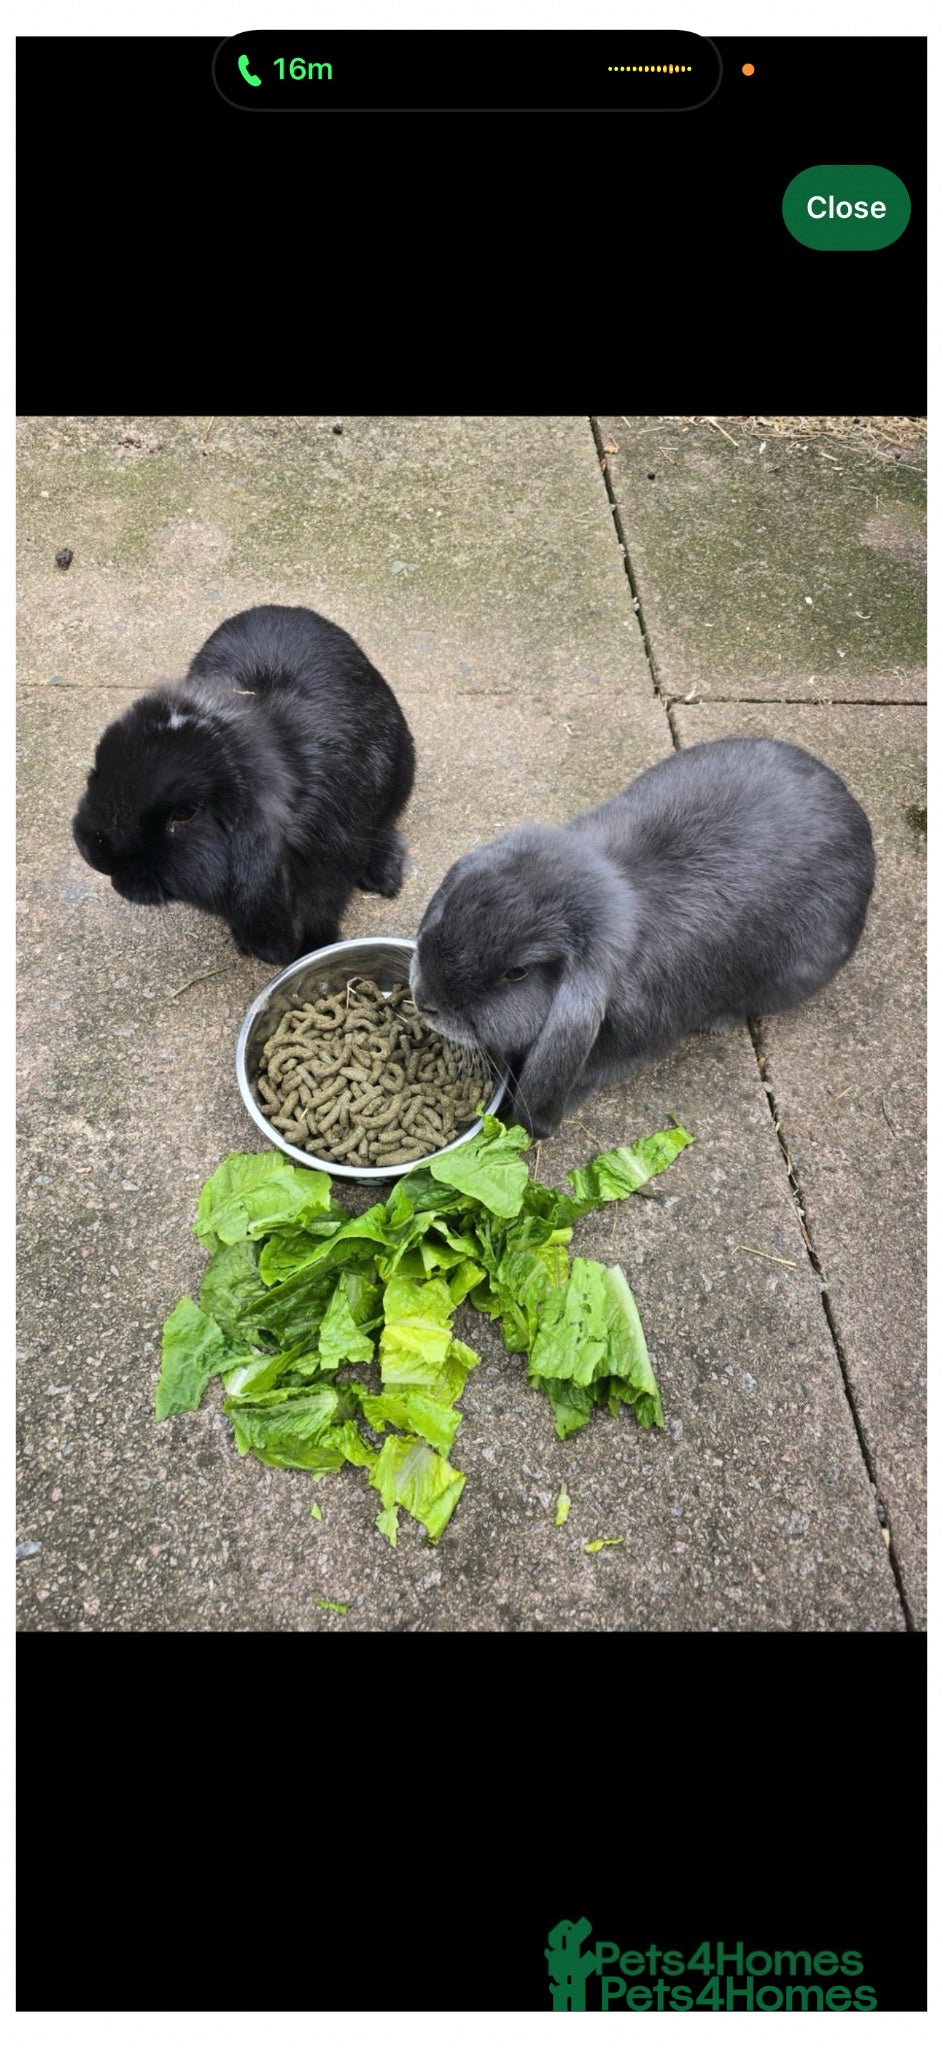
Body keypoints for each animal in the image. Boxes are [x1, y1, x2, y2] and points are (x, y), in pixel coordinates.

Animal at [72, 604, 416, 965]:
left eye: (184, 813)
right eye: (97, 769)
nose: (94, 854)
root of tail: (283, 608)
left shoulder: (325, 880)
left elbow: (319, 915)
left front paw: (314, 949)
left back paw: (386, 878)